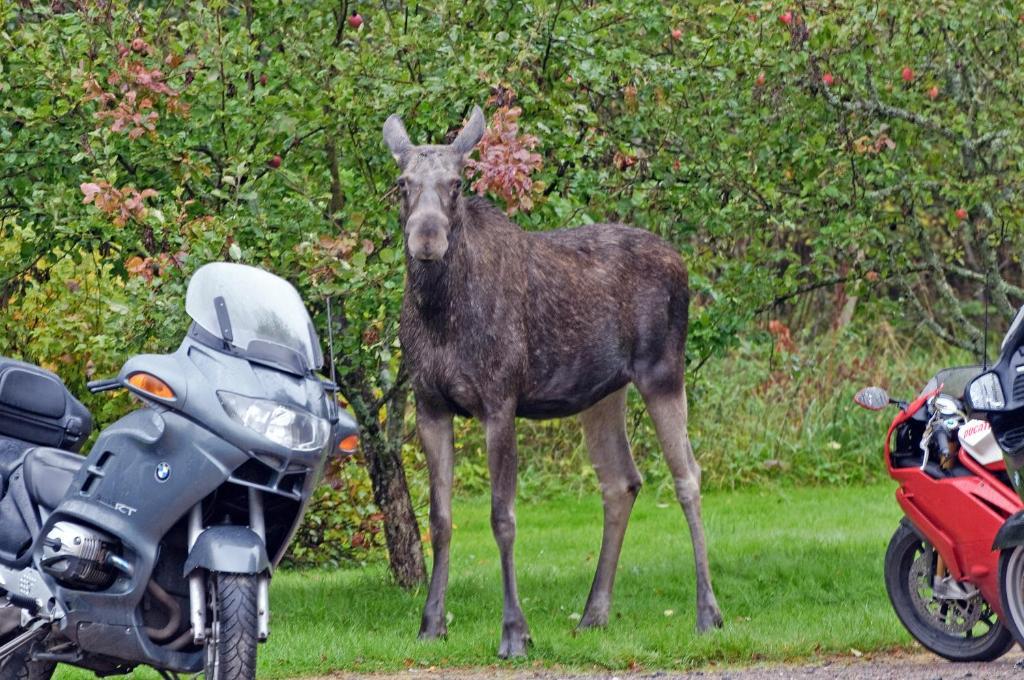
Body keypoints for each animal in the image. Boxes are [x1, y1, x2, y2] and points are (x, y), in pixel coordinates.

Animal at [385, 106, 729, 659]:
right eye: (402, 183)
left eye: (457, 183)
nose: (427, 238)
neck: (440, 315)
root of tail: (684, 263)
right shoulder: (429, 404)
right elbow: (439, 519)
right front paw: (431, 623)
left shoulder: (499, 400)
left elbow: (502, 518)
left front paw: (514, 632)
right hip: (605, 391)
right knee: (622, 481)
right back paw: (593, 614)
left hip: (662, 372)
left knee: (687, 477)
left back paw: (707, 613)